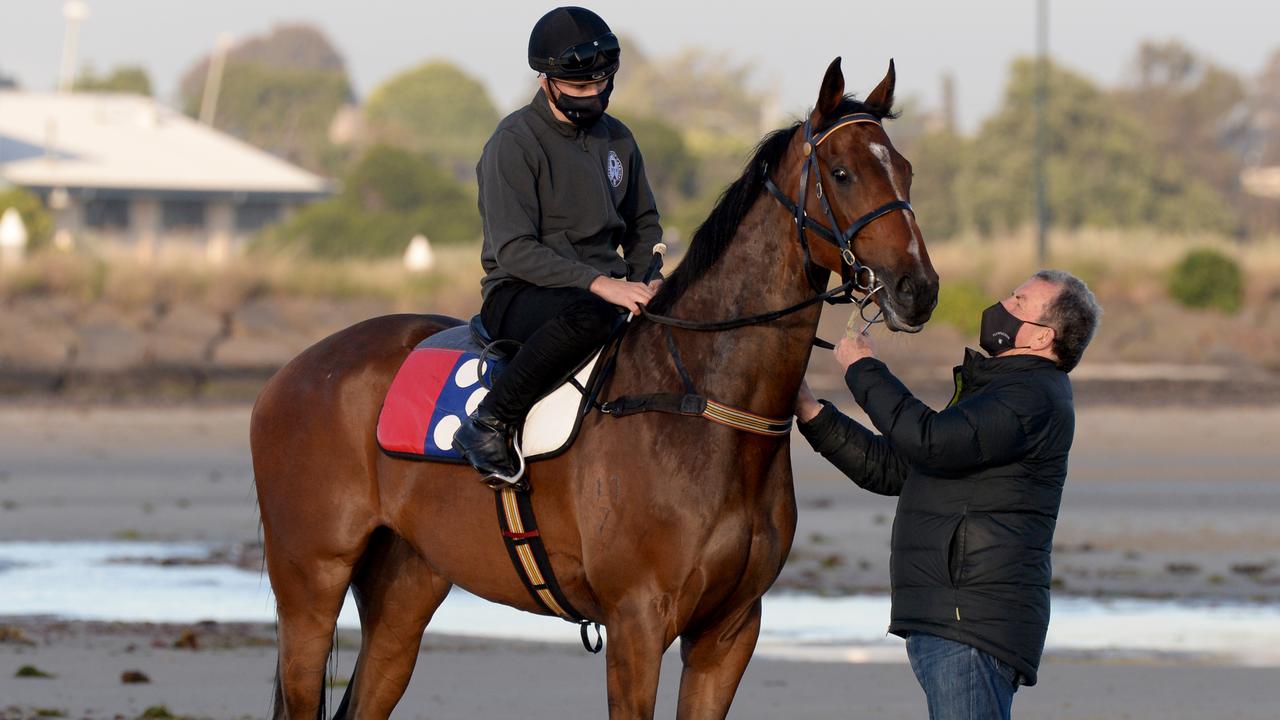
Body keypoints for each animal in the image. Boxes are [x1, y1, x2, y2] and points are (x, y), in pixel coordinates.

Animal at [249, 58, 936, 712]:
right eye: (842, 173)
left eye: (905, 170)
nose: (919, 289)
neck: (698, 404)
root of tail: (290, 374)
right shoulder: (637, 623)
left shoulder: (730, 631)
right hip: (310, 584)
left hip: (407, 588)